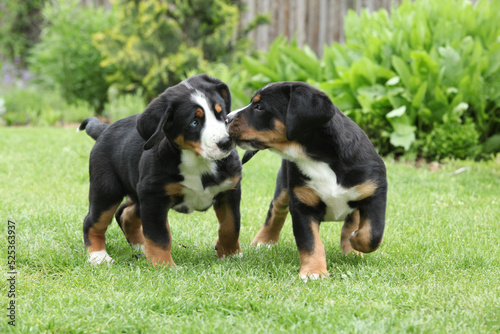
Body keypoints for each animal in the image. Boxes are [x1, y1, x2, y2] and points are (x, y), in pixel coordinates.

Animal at [78, 74, 242, 268]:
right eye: (194, 122)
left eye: (221, 114)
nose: (226, 142)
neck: (198, 162)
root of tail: (105, 128)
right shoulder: (153, 197)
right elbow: (159, 235)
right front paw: (165, 266)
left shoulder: (230, 190)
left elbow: (231, 226)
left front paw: (230, 255)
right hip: (106, 190)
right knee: (93, 221)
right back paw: (99, 256)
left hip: (137, 192)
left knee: (125, 213)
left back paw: (141, 248)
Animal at [227, 81, 386, 280]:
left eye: (260, 107)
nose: (226, 119)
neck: (316, 157)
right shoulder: (302, 204)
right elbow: (310, 242)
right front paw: (314, 271)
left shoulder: (375, 192)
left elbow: (372, 234)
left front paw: (354, 241)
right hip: (284, 186)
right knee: (276, 210)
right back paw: (264, 240)